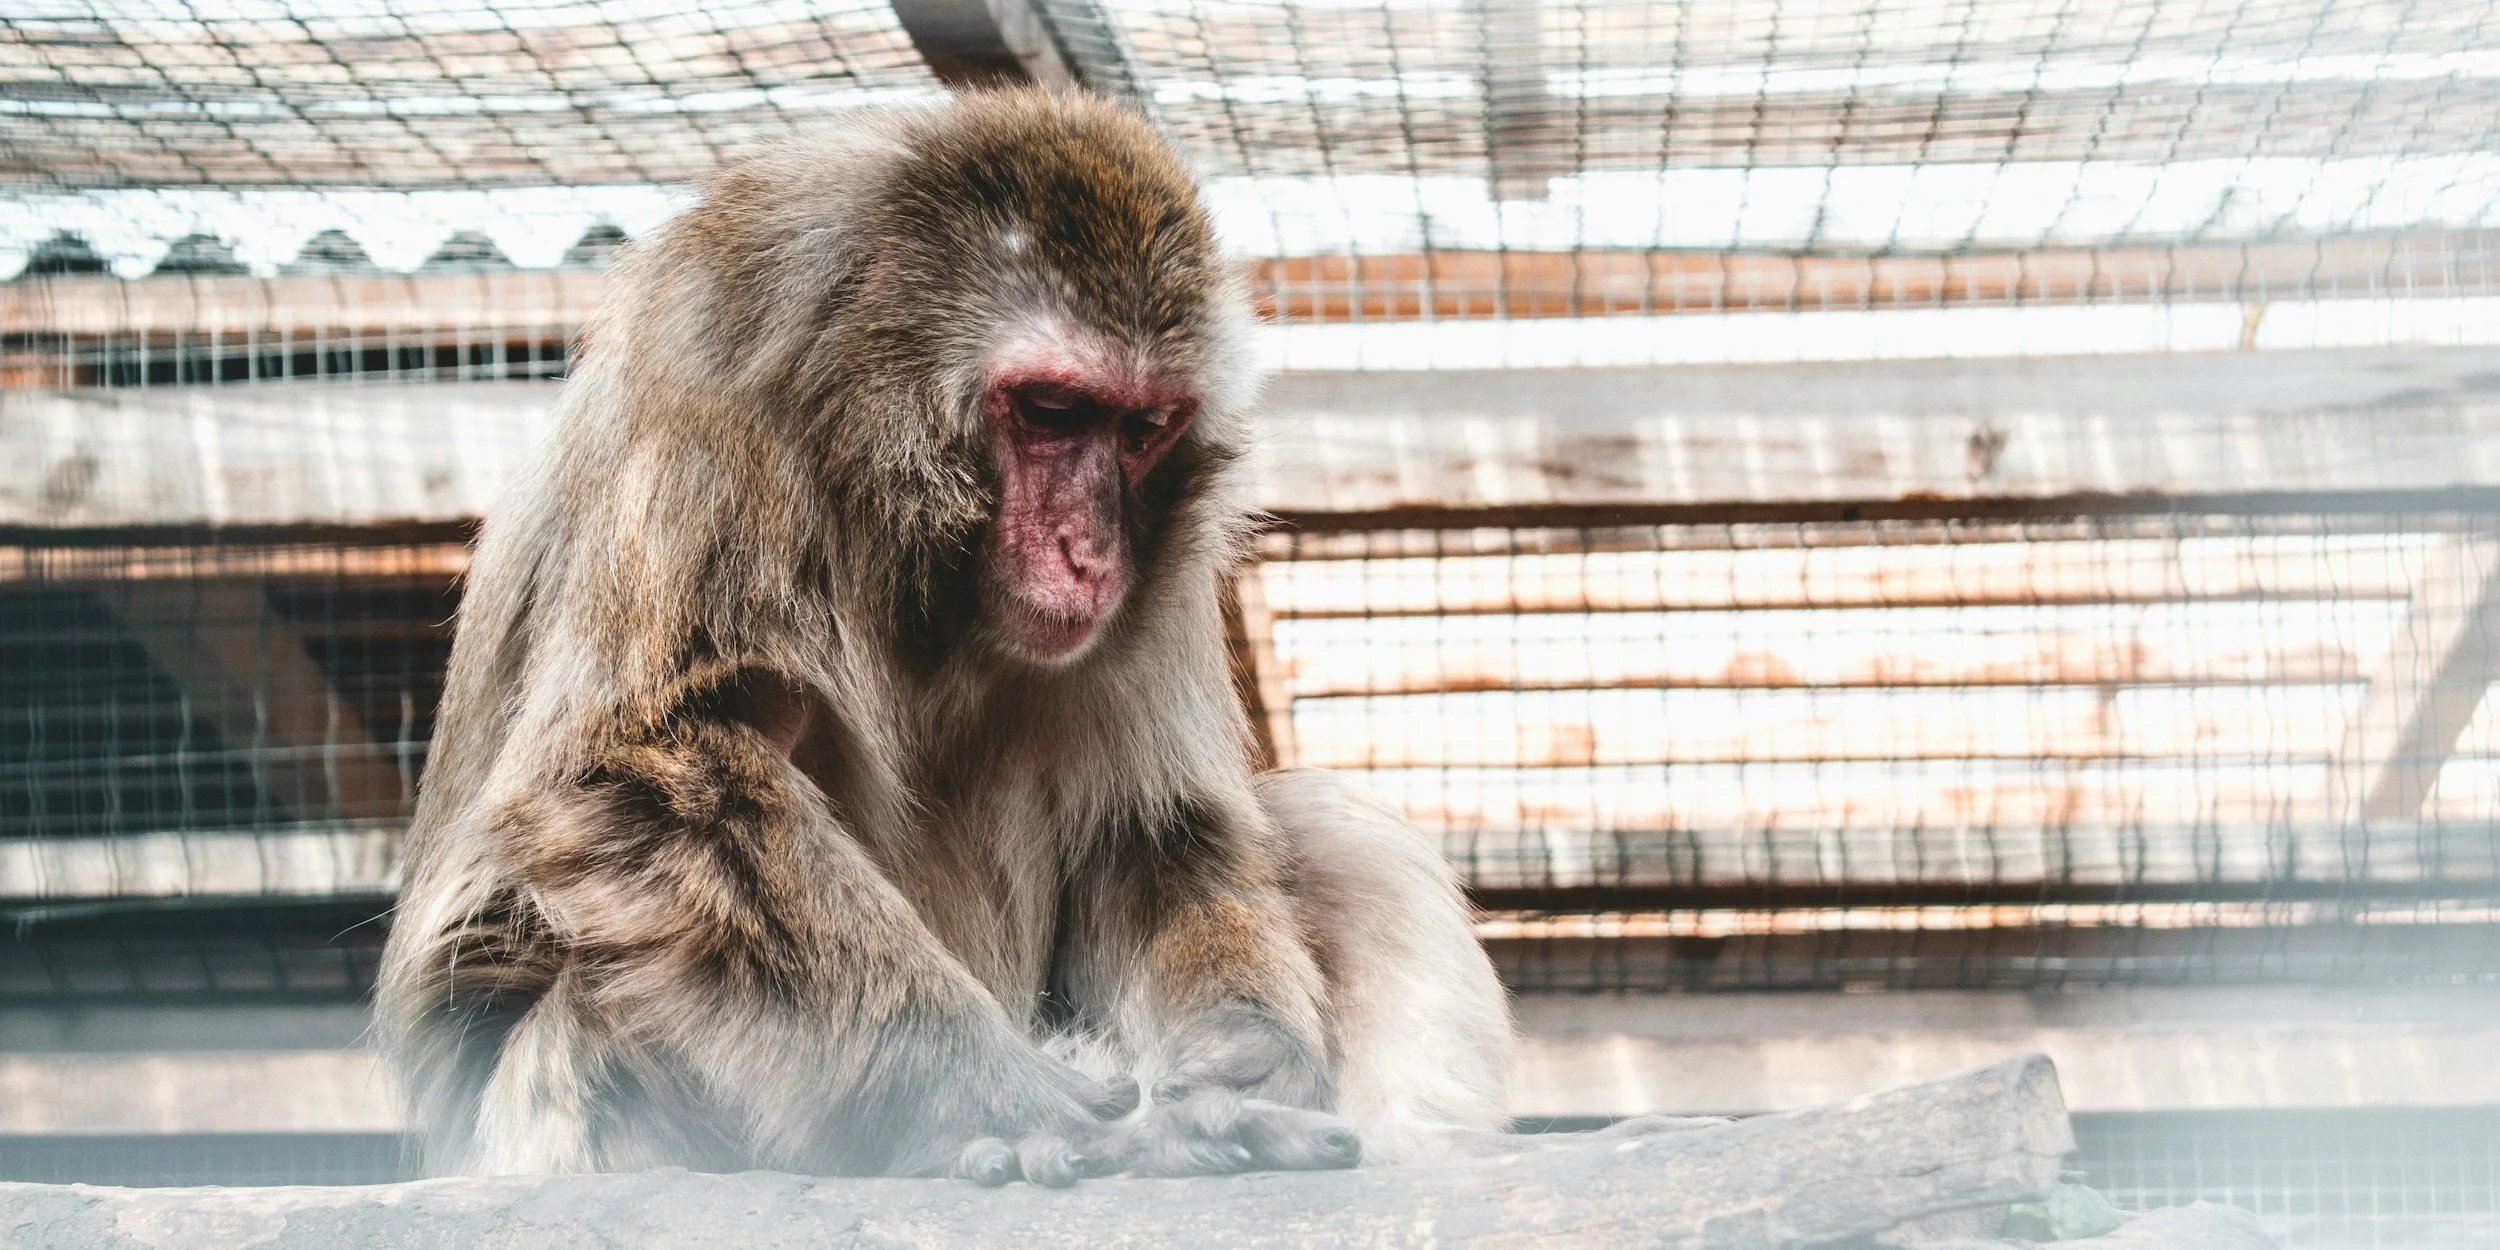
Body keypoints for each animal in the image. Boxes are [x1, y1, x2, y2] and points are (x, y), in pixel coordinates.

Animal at [374, 88, 1515, 1185]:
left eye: (1142, 429)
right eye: (1051, 410)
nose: (1090, 549)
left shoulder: (1168, 556)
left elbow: (1152, 828)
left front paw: (1245, 1053)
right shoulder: (711, 389)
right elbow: (634, 760)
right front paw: (990, 1090)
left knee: (1332, 829)